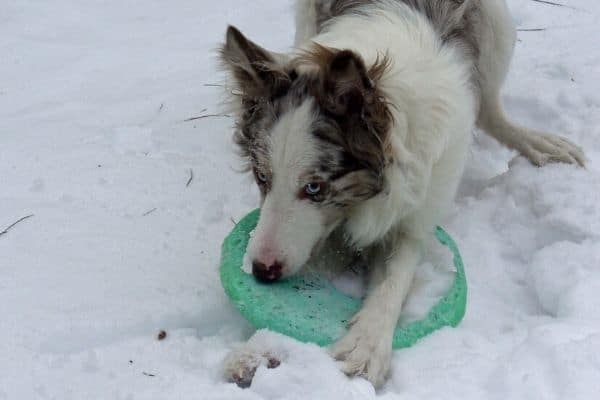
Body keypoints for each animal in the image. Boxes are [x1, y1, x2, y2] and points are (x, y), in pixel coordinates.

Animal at [218, 0, 584, 388]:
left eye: (314, 186)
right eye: (262, 177)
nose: (260, 271)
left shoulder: (415, 213)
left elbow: (395, 278)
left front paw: (366, 344)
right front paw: (260, 346)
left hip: (498, 25)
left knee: (490, 110)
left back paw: (536, 142)